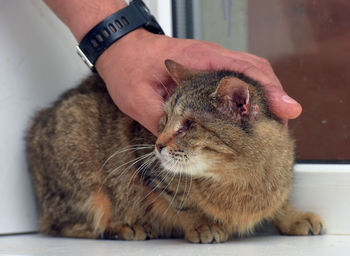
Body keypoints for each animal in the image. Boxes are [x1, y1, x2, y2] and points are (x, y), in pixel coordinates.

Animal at [26, 59, 324, 242]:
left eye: (189, 124)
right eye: (165, 118)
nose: (158, 144)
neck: (236, 180)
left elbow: (280, 201)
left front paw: (294, 216)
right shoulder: (147, 166)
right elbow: (182, 202)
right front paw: (203, 224)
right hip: (82, 167)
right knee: (66, 224)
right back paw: (125, 226)